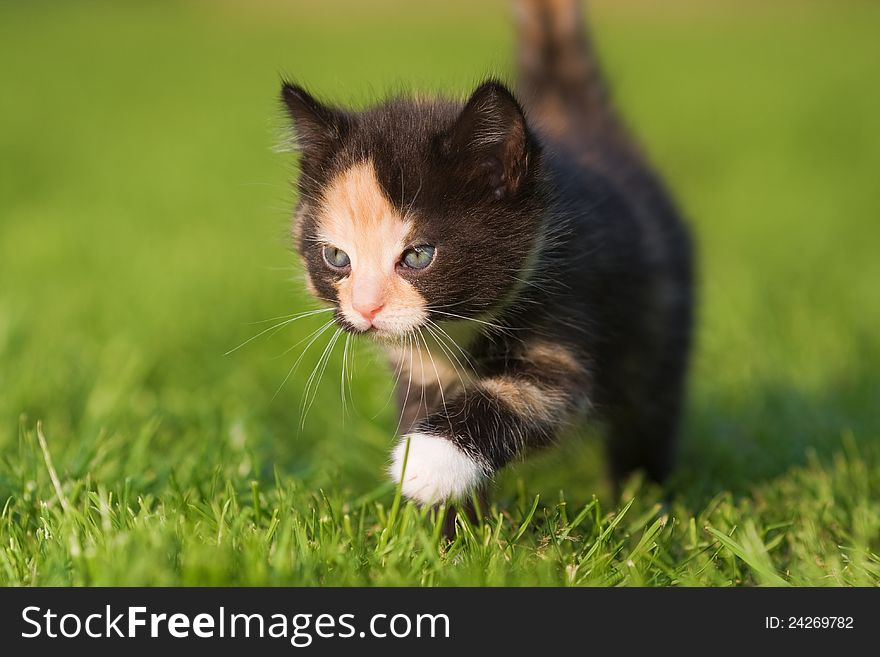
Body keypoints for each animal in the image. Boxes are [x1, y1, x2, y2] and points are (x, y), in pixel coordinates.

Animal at [282, 0, 696, 508]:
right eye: (337, 258)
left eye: (418, 256)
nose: (365, 307)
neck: (460, 329)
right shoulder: (420, 371)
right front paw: (450, 521)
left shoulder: (569, 314)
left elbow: (530, 395)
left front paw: (426, 461)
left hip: (659, 325)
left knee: (649, 414)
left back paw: (645, 500)